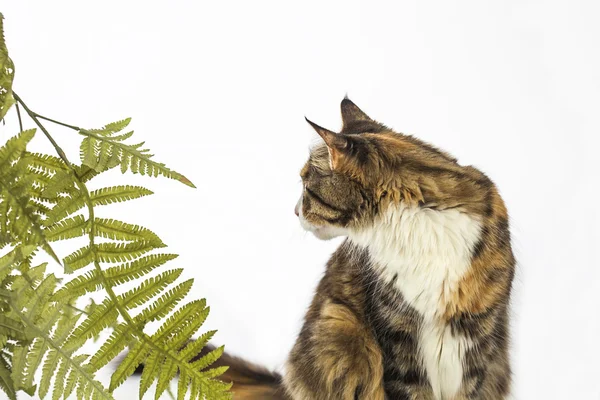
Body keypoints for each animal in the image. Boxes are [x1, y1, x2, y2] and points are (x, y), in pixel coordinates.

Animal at [172, 97, 516, 400]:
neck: (420, 226)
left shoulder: (477, 337)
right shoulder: (396, 335)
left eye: (306, 187)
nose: (294, 212)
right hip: (340, 328)